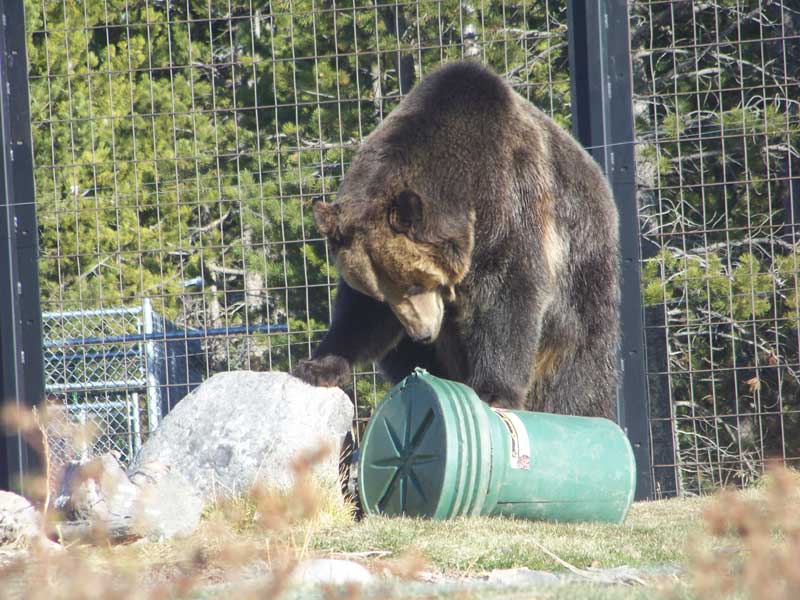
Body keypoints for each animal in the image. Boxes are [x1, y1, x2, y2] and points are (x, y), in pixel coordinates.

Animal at [292, 61, 619, 420]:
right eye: (383, 296)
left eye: (415, 284)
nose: (422, 335)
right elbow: (357, 317)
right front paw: (317, 366)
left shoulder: (512, 202)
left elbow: (509, 295)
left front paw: (495, 391)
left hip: (582, 271)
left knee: (578, 362)